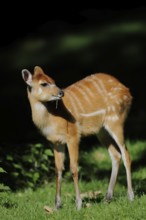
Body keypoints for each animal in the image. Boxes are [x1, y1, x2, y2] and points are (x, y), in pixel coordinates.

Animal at [21, 66, 134, 210]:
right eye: (44, 83)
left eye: (53, 80)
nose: (61, 92)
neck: (51, 120)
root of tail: (127, 91)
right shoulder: (55, 142)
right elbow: (58, 170)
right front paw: (57, 206)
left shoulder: (73, 136)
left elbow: (74, 168)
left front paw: (78, 204)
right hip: (101, 131)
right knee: (115, 155)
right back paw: (107, 197)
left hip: (116, 120)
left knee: (126, 154)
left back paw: (130, 196)